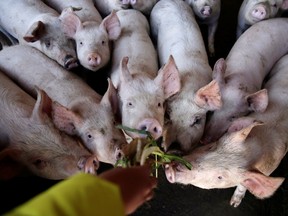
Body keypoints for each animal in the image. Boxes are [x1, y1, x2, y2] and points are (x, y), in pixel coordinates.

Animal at [165, 53, 288, 207]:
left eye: (220, 177)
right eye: (211, 147)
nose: (171, 169)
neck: (259, 144)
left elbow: (243, 185)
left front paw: (233, 204)